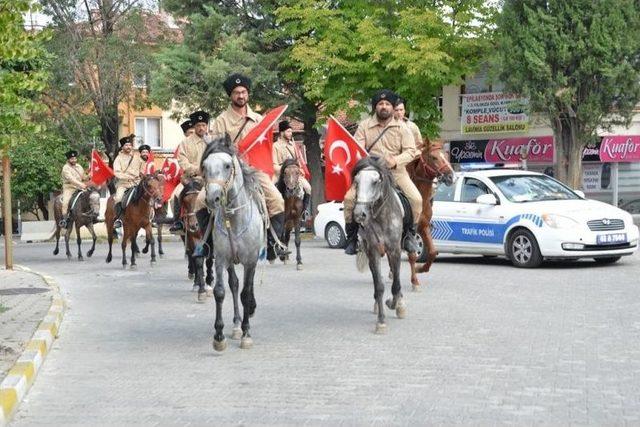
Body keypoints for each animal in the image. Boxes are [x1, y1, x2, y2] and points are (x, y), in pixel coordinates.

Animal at [202, 135, 268, 352]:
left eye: (227, 165)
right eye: (205, 166)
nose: (212, 198)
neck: (235, 218)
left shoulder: (250, 260)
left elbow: (246, 293)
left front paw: (247, 334)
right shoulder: (222, 259)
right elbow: (220, 291)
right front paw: (219, 335)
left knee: (247, 288)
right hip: (231, 261)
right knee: (234, 284)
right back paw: (237, 324)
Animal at [352, 157, 408, 334]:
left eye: (375, 181)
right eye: (356, 182)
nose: (360, 214)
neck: (382, 217)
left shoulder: (395, 250)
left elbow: (396, 282)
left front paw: (395, 304)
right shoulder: (373, 251)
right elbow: (379, 285)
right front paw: (381, 321)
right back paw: (378, 304)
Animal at [404, 139, 456, 290]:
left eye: (447, 155)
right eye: (433, 157)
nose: (451, 177)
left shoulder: (423, 226)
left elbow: (432, 252)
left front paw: (420, 269)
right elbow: (412, 255)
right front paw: (414, 281)